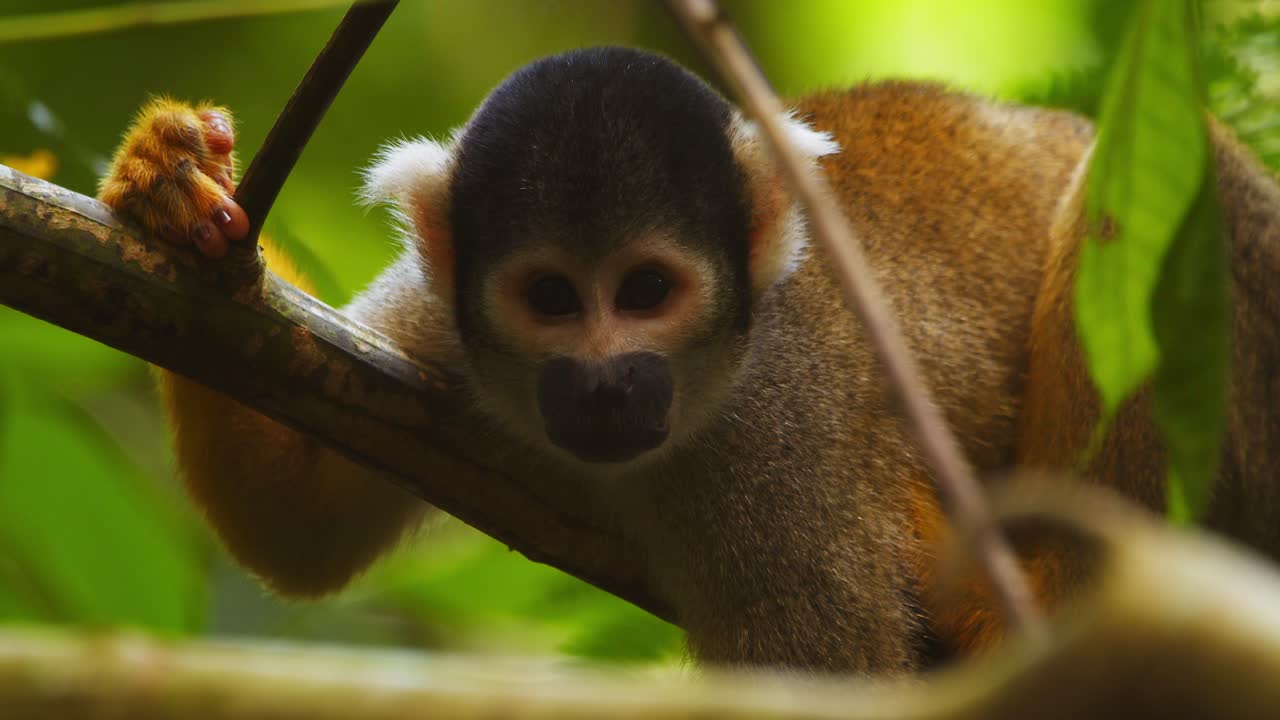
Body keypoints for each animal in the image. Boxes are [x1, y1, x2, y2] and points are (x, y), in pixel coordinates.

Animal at [97, 46, 1279, 675]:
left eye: (648, 292)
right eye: (552, 298)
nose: (606, 381)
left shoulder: (775, 453)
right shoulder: (444, 328)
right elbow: (297, 517)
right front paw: (167, 189)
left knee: (1182, 195)